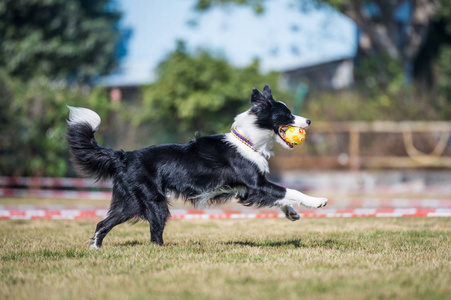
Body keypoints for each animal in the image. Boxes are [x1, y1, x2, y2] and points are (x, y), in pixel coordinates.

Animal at [67, 85, 328, 248]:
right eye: (287, 114)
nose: (309, 121)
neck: (249, 140)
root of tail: (125, 156)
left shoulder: (248, 189)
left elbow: (282, 196)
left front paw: (292, 213)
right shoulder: (255, 183)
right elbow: (290, 190)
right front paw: (317, 201)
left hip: (130, 202)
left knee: (103, 223)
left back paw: (95, 249)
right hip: (153, 201)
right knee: (154, 232)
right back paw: (160, 251)